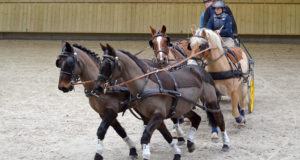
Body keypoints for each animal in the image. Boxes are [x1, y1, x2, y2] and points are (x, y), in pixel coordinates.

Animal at [94, 43, 230, 160]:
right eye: (100, 64)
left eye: (108, 65)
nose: (98, 87)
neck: (146, 85)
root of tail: (199, 69)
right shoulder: (152, 117)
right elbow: (166, 135)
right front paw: (177, 153)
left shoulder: (158, 116)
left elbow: (146, 136)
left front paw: (146, 155)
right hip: (183, 107)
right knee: (196, 118)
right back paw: (190, 143)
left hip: (211, 102)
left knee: (220, 119)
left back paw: (226, 143)